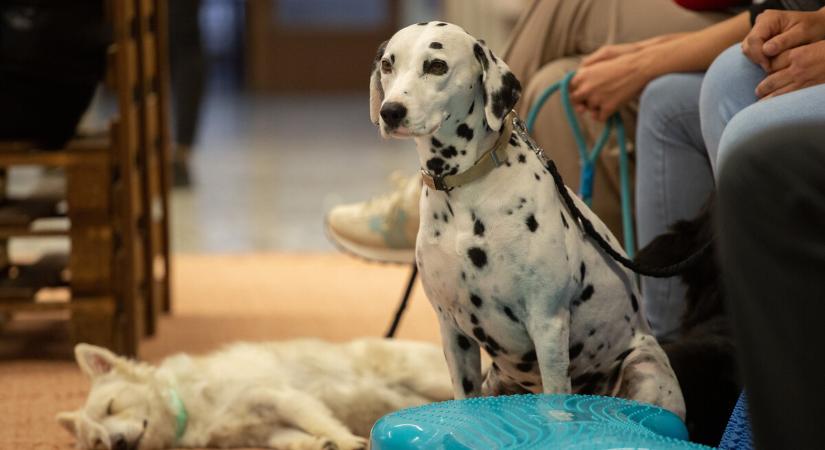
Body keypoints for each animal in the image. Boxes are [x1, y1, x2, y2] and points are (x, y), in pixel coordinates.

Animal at [58, 340, 454, 450]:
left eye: (112, 407)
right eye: (97, 442)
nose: (117, 443)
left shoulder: (278, 397)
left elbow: (318, 420)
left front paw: (345, 441)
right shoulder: (267, 431)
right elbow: (295, 439)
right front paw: (323, 444)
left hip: (426, 377)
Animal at [370, 21, 684, 418]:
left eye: (436, 65)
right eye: (388, 65)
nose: (391, 111)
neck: (465, 191)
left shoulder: (547, 324)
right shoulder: (453, 332)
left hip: (643, 367)